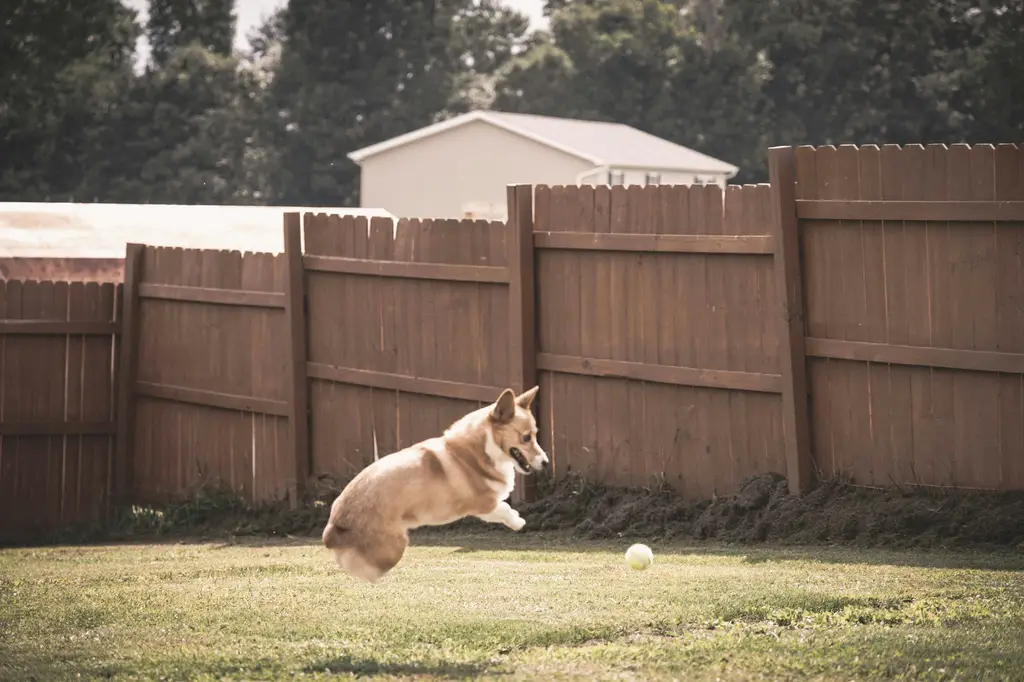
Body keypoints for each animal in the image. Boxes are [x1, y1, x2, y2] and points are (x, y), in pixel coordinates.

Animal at [321, 382, 548, 577]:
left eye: (536, 435)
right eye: (526, 437)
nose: (546, 462)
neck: (484, 448)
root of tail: (333, 526)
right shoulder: (483, 504)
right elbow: (504, 510)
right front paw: (518, 521)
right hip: (394, 546)